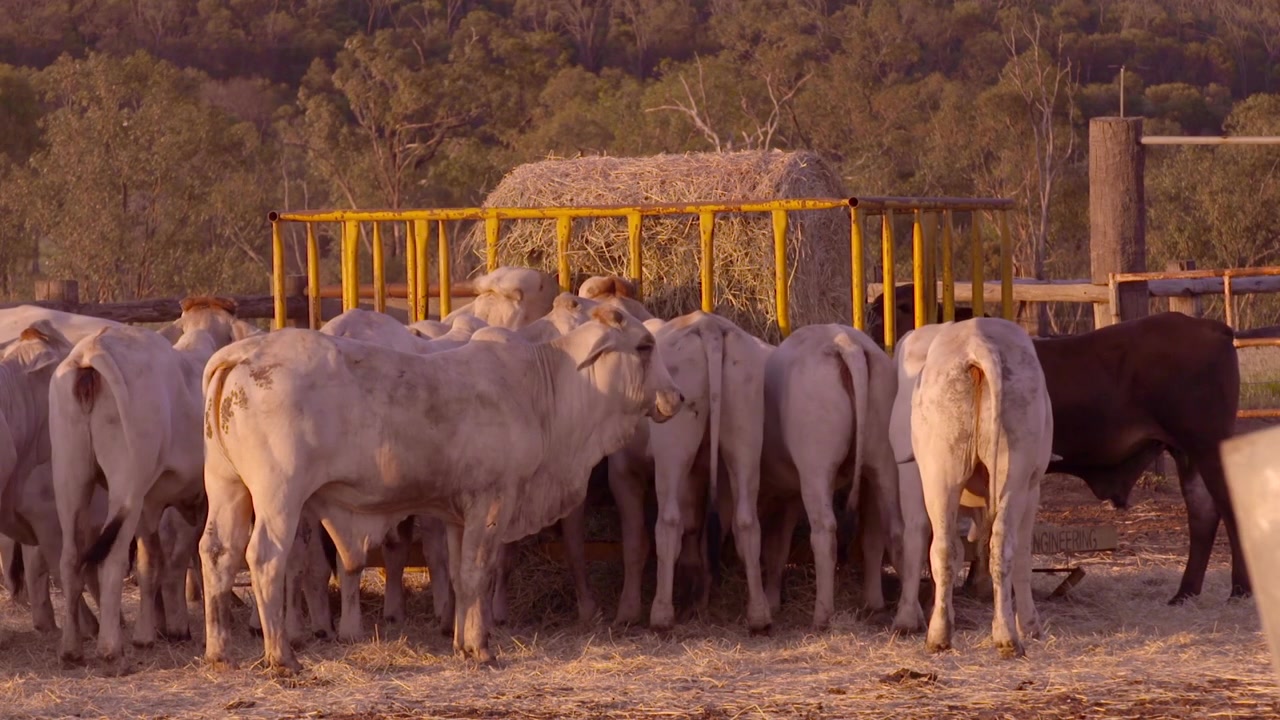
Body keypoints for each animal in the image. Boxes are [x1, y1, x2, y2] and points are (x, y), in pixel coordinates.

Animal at [50, 296, 260, 664]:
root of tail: (91, 352)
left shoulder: (155, 504)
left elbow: (154, 565)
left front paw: (150, 633)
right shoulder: (194, 499)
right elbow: (186, 559)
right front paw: (180, 626)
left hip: (70, 481)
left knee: (70, 559)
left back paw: (72, 648)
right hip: (126, 489)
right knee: (112, 560)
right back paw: (110, 648)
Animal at [198, 305, 684, 673]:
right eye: (644, 346)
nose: (677, 398)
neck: (546, 391)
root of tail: (242, 352)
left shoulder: (457, 514)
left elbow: (456, 574)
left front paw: (461, 644)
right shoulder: (493, 501)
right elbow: (476, 574)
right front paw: (482, 649)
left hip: (227, 486)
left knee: (218, 552)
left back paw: (220, 652)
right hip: (278, 496)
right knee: (265, 558)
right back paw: (282, 657)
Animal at [608, 311, 772, 632]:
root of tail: (707, 324)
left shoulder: (622, 472)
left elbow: (635, 543)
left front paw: (627, 611)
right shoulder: (696, 471)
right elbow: (695, 527)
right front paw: (696, 601)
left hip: (673, 450)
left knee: (669, 523)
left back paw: (661, 614)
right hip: (743, 438)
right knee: (746, 521)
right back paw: (759, 615)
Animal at [756, 324, 902, 630]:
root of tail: (847, 343)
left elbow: (772, 547)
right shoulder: (788, 497)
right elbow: (778, 550)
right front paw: (773, 601)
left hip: (816, 467)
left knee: (825, 531)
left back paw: (822, 616)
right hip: (880, 461)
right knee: (886, 530)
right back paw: (886, 608)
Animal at [906, 318, 1052, 658]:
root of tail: (978, 344)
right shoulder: (1033, 489)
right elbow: (1024, 556)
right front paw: (1031, 624)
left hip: (940, 468)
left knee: (944, 548)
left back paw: (939, 635)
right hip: (1016, 472)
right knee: (1004, 546)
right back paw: (1008, 636)